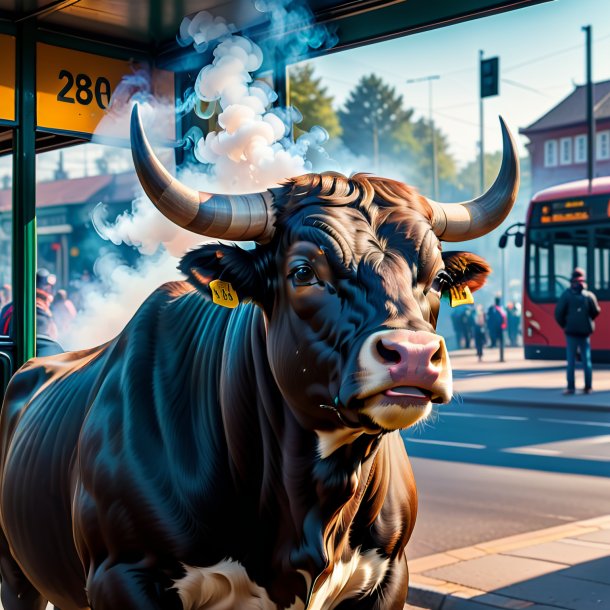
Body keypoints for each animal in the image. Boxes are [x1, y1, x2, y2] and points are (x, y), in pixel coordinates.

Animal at [0, 105, 516, 608]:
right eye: (304, 271)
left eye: (438, 278)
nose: (412, 355)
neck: (312, 498)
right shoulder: (121, 575)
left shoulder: (390, 574)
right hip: (18, 574)